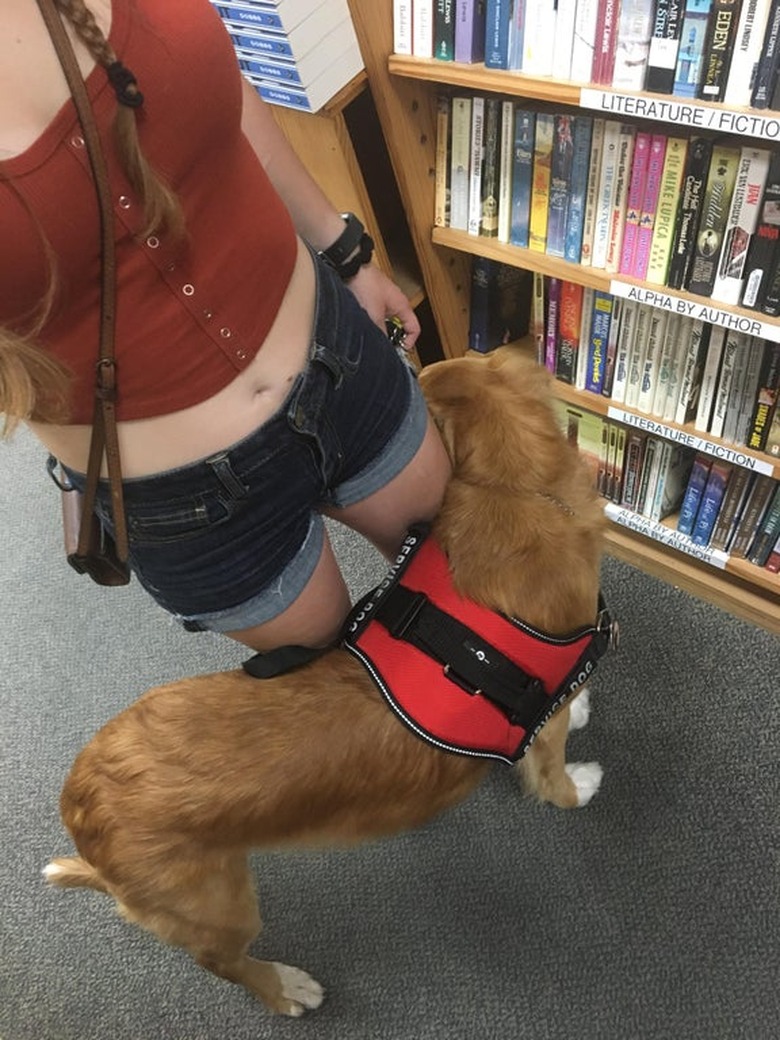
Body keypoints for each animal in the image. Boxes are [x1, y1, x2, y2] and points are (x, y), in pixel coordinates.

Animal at [45, 349, 611, 1015]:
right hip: (220, 908)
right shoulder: (541, 719)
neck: (517, 491)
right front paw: (580, 776)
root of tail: (80, 807)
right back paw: (284, 988)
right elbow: (553, 772)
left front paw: (578, 705)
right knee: (223, 963)